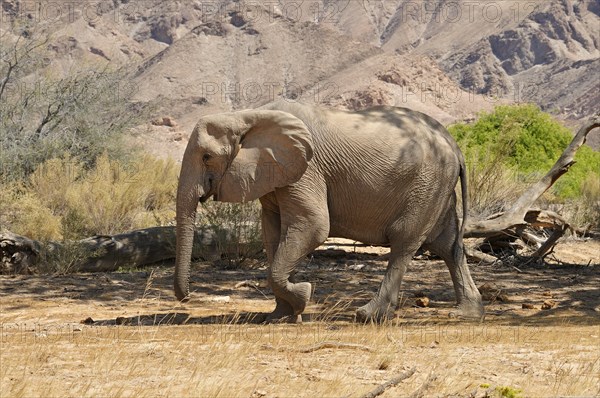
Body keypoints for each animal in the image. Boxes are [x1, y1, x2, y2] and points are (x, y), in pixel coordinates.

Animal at [173, 101, 482, 322]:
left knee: (404, 242)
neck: (248, 115)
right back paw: (467, 313)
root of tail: (455, 145)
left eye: (207, 157)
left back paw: (367, 315)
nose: (186, 298)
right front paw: (278, 317)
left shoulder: (307, 169)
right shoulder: (274, 175)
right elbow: (272, 234)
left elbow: (314, 226)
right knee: (447, 245)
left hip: (427, 184)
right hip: (438, 187)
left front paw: (303, 295)